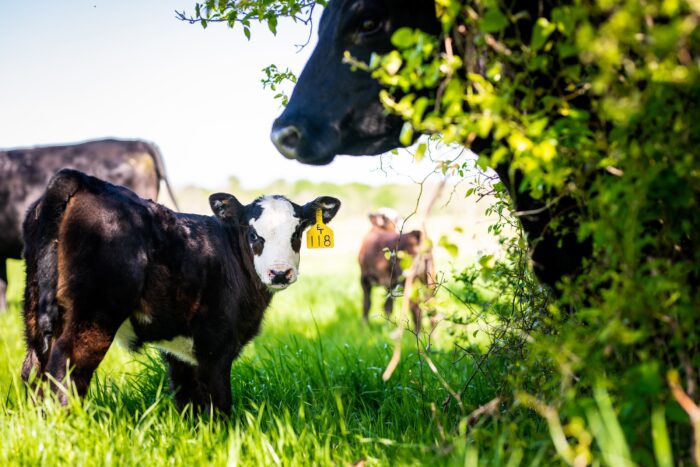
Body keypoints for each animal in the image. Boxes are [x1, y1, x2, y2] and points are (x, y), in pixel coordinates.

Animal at [21, 168, 340, 414]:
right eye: (252, 234)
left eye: (297, 232)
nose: (280, 273)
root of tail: (85, 180)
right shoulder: (216, 344)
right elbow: (219, 404)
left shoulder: (183, 352)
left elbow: (189, 402)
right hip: (96, 313)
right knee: (65, 365)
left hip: (37, 308)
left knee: (33, 366)